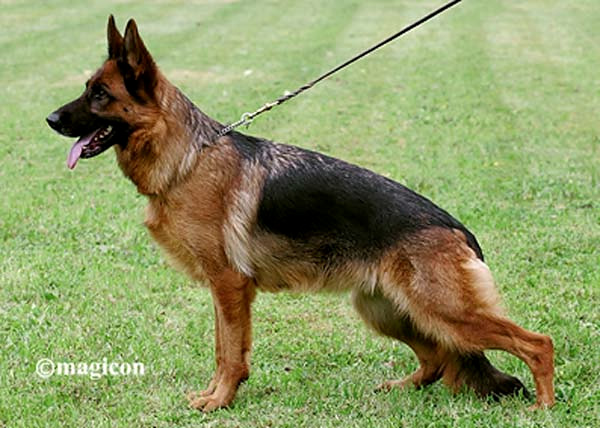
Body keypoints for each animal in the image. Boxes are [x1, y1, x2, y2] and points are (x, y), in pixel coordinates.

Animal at [46, 16, 555, 411]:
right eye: (87, 90)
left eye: (99, 95)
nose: (49, 120)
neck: (188, 158)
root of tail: (459, 230)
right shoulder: (223, 289)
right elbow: (223, 349)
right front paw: (215, 396)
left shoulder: (229, 285)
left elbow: (229, 353)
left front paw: (220, 400)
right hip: (386, 310)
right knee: (435, 360)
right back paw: (401, 387)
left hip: (445, 312)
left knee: (536, 343)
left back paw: (543, 406)